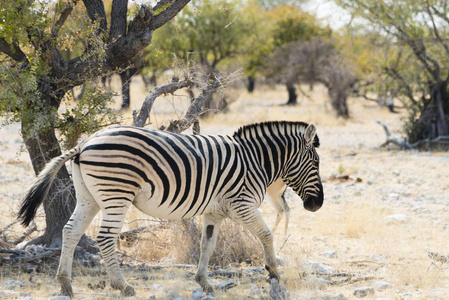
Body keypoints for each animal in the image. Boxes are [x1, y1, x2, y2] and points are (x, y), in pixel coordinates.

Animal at [18, 120, 322, 298]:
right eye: (316, 163)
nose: (317, 204)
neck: (255, 160)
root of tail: (85, 142)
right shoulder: (242, 203)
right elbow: (266, 235)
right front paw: (274, 274)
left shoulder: (214, 211)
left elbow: (207, 245)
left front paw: (204, 282)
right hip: (117, 192)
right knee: (105, 237)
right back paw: (123, 286)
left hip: (88, 196)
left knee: (70, 231)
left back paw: (65, 284)